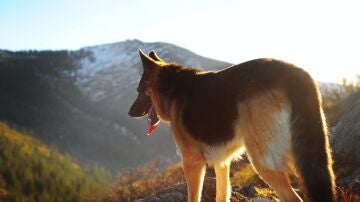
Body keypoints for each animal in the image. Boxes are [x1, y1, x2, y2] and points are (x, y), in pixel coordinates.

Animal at [128, 49, 336, 202]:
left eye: (139, 90)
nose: (130, 112)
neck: (171, 88)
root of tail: (294, 74)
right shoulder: (222, 162)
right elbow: (222, 193)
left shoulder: (192, 162)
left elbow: (193, 196)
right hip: (305, 157)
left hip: (263, 160)